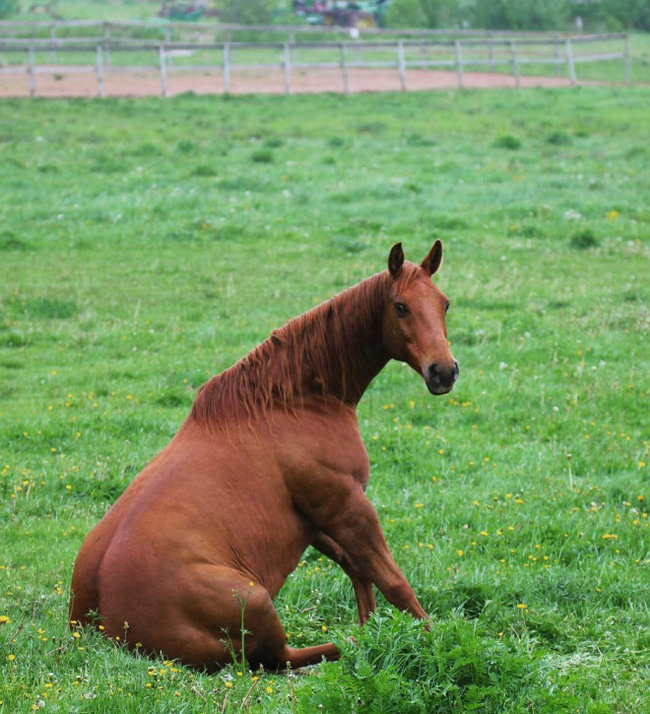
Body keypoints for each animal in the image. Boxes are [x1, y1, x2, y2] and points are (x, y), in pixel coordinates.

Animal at [69, 242, 456, 672]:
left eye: (444, 303)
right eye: (400, 306)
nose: (444, 372)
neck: (293, 403)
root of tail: (97, 627)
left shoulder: (315, 518)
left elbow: (357, 568)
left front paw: (375, 626)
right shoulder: (346, 506)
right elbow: (394, 583)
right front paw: (435, 643)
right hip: (256, 600)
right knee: (282, 658)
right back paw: (354, 643)